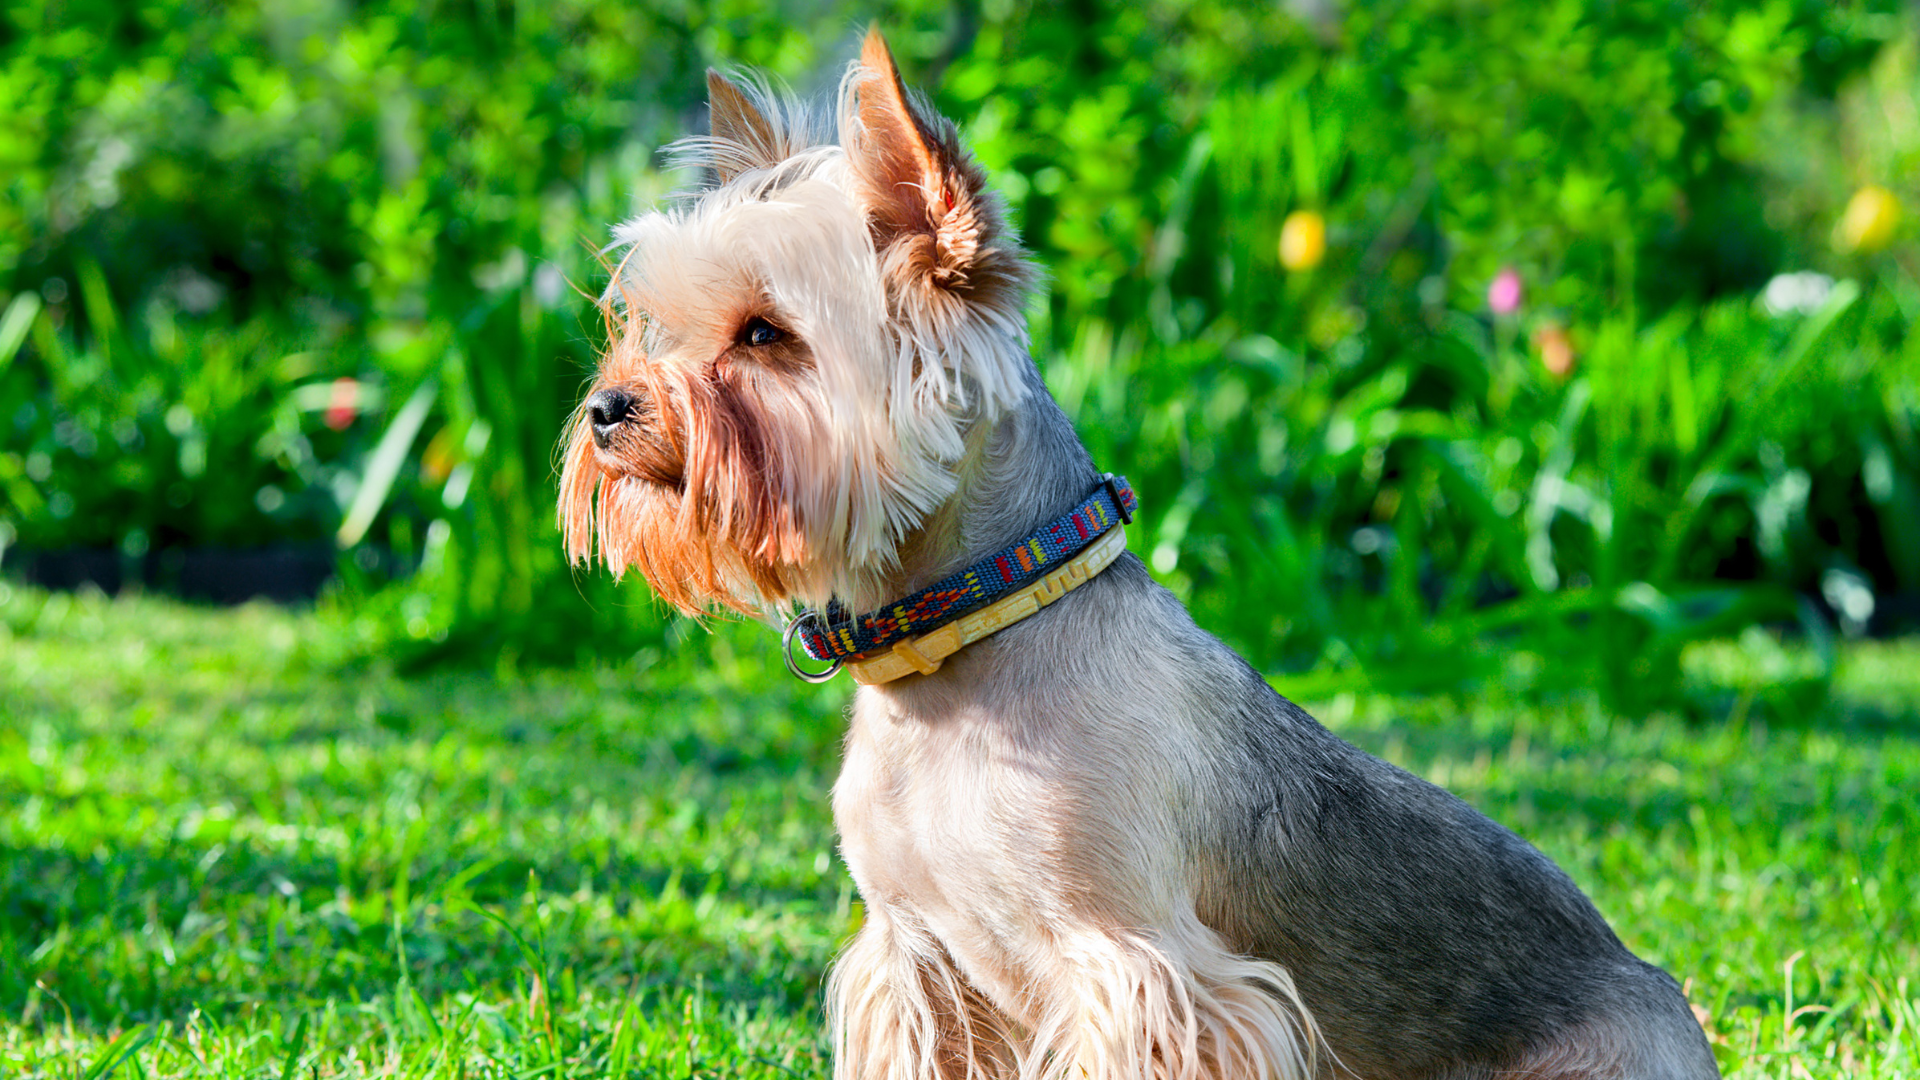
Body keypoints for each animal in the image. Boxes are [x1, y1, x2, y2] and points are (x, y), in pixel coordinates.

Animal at [560, 29, 1728, 1068]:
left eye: (766, 334)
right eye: (652, 324)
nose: (608, 409)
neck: (966, 637)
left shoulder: (1144, 972)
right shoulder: (916, 962)